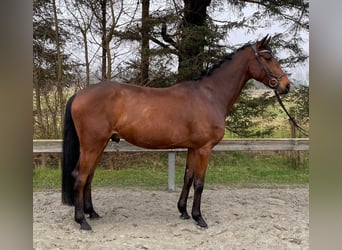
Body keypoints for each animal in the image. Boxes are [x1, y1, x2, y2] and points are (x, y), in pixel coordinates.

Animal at [61, 35, 288, 230]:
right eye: (268, 58)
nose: (286, 85)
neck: (210, 95)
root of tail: (79, 94)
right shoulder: (204, 149)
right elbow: (199, 183)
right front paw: (199, 218)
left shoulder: (193, 148)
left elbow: (188, 177)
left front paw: (184, 212)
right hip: (92, 145)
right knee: (80, 176)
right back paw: (82, 220)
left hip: (101, 144)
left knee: (89, 176)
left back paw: (92, 213)